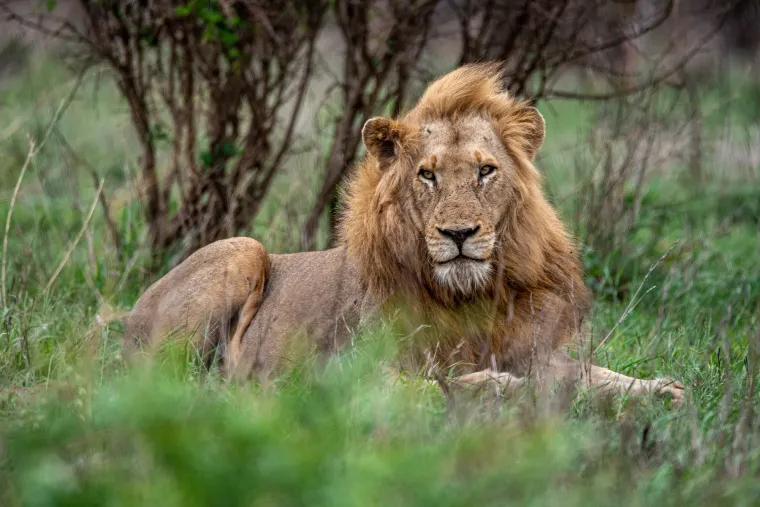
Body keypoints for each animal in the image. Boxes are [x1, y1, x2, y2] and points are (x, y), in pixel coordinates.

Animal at [124, 63, 684, 403]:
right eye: (427, 175)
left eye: (486, 171)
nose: (459, 233)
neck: (469, 297)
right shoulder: (348, 370)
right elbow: (435, 383)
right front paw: (498, 387)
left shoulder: (537, 351)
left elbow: (596, 376)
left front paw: (662, 390)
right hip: (242, 251)